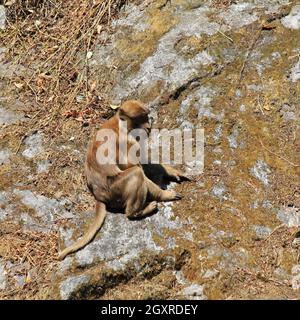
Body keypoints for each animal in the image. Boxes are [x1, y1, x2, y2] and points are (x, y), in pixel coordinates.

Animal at [57, 100, 189, 260]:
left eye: (146, 116)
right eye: (140, 118)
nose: (148, 126)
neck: (121, 125)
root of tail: (98, 195)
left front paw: (171, 171)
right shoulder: (127, 141)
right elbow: (137, 168)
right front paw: (165, 195)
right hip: (114, 189)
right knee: (136, 174)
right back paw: (136, 212)